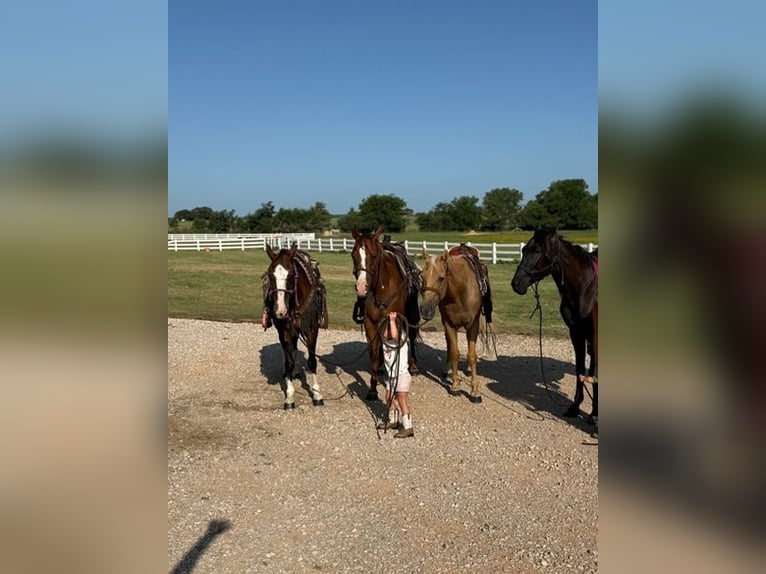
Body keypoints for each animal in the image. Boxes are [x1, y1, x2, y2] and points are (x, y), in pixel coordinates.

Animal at [263, 243, 328, 410]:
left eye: (291, 274)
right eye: (270, 275)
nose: (280, 310)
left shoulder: (311, 329)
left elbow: (312, 361)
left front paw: (317, 395)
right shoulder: (284, 331)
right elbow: (289, 361)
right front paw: (290, 396)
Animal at [351, 226, 421, 401]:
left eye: (374, 255)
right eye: (353, 255)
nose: (362, 287)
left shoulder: (396, 319)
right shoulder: (370, 322)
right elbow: (374, 352)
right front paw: (372, 389)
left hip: (411, 315)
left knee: (412, 336)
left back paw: (413, 366)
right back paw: (383, 367)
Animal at [419, 245, 494, 403]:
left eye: (441, 278)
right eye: (422, 276)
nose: (425, 309)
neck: (460, 292)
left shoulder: (473, 325)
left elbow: (472, 355)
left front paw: (475, 391)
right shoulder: (449, 324)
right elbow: (454, 352)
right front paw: (455, 385)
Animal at [511, 228, 598, 423]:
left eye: (537, 251)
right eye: (524, 250)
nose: (516, 284)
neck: (586, 288)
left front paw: (594, 414)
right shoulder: (576, 333)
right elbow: (580, 369)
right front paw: (574, 407)